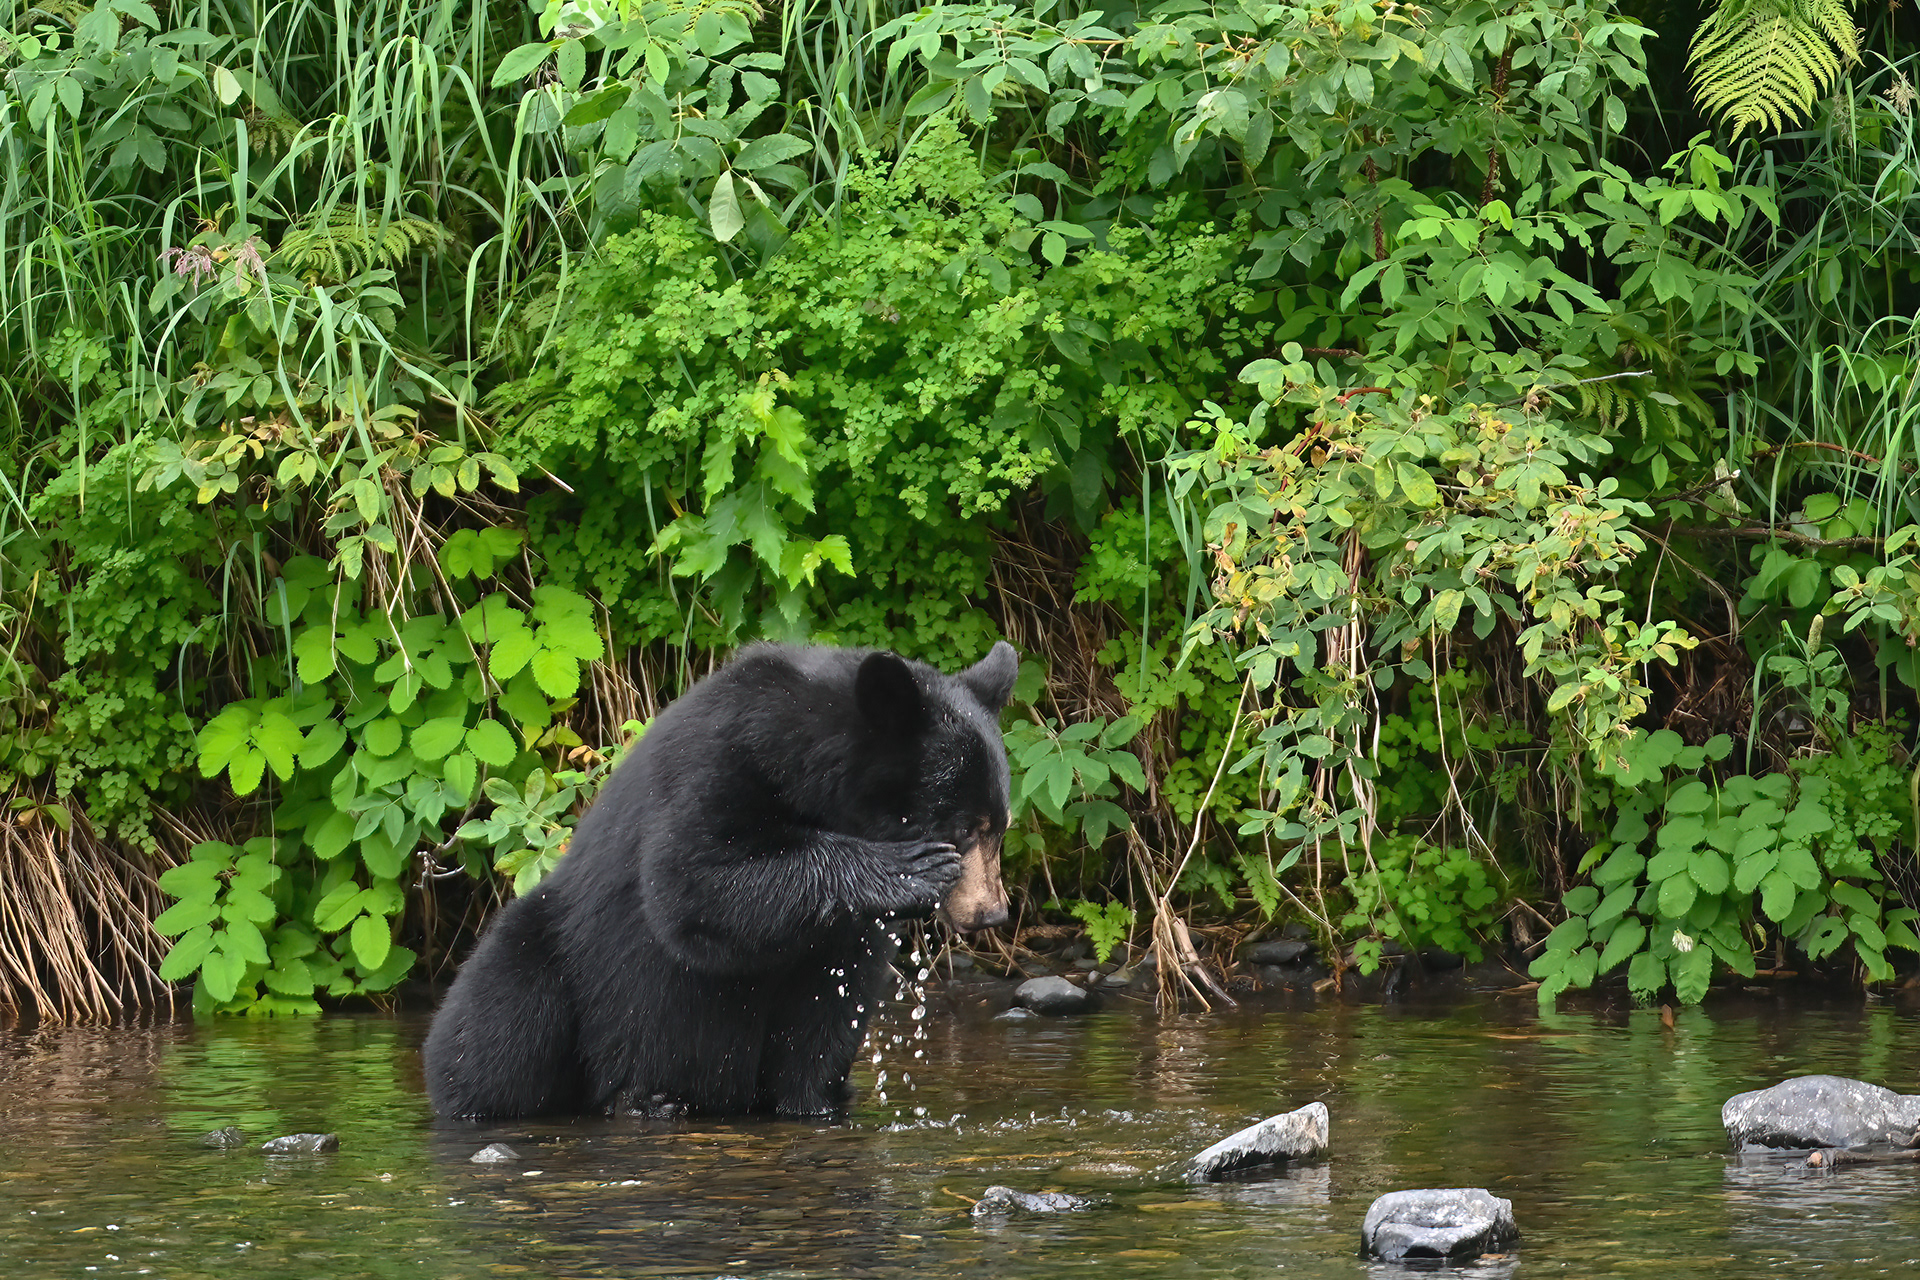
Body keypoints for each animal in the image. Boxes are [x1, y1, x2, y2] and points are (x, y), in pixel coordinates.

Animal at [423, 640, 1018, 1119]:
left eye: (1001, 826)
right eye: (964, 827)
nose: (992, 912)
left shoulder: (844, 939)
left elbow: (828, 1009)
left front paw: (815, 1102)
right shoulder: (719, 762)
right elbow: (691, 885)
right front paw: (910, 868)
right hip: (547, 953)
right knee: (499, 1028)